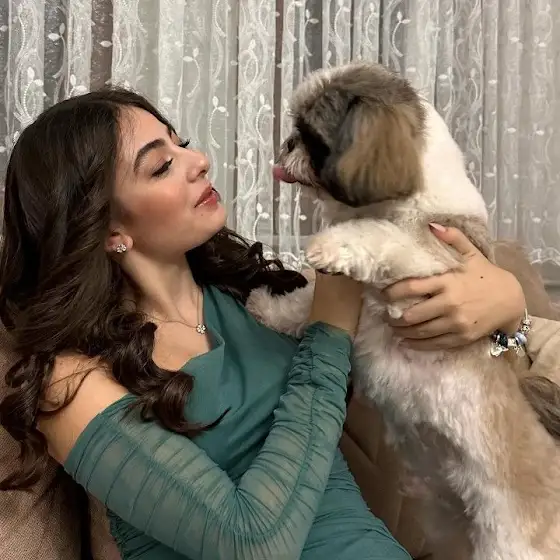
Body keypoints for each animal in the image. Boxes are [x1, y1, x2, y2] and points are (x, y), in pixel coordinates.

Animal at [246, 62, 560, 559]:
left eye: (311, 136)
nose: (287, 144)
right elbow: (302, 305)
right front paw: (265, 305)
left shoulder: (433, 262)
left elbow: (381, 237)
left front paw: (332, 244)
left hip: (510, 546)